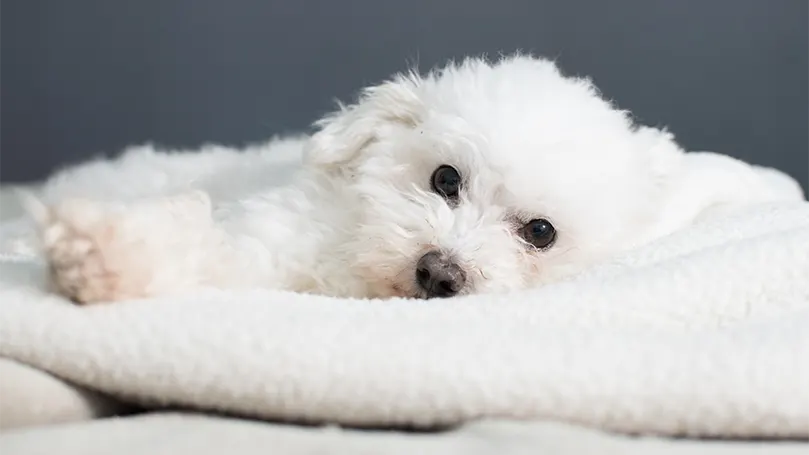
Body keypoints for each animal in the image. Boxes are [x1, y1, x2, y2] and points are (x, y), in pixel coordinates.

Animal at [26, 54, 800, 302]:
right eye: (446, 179)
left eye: (540, 232)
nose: (439, 272)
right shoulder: (272, 237)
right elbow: (201, 248)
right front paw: (100, 253)